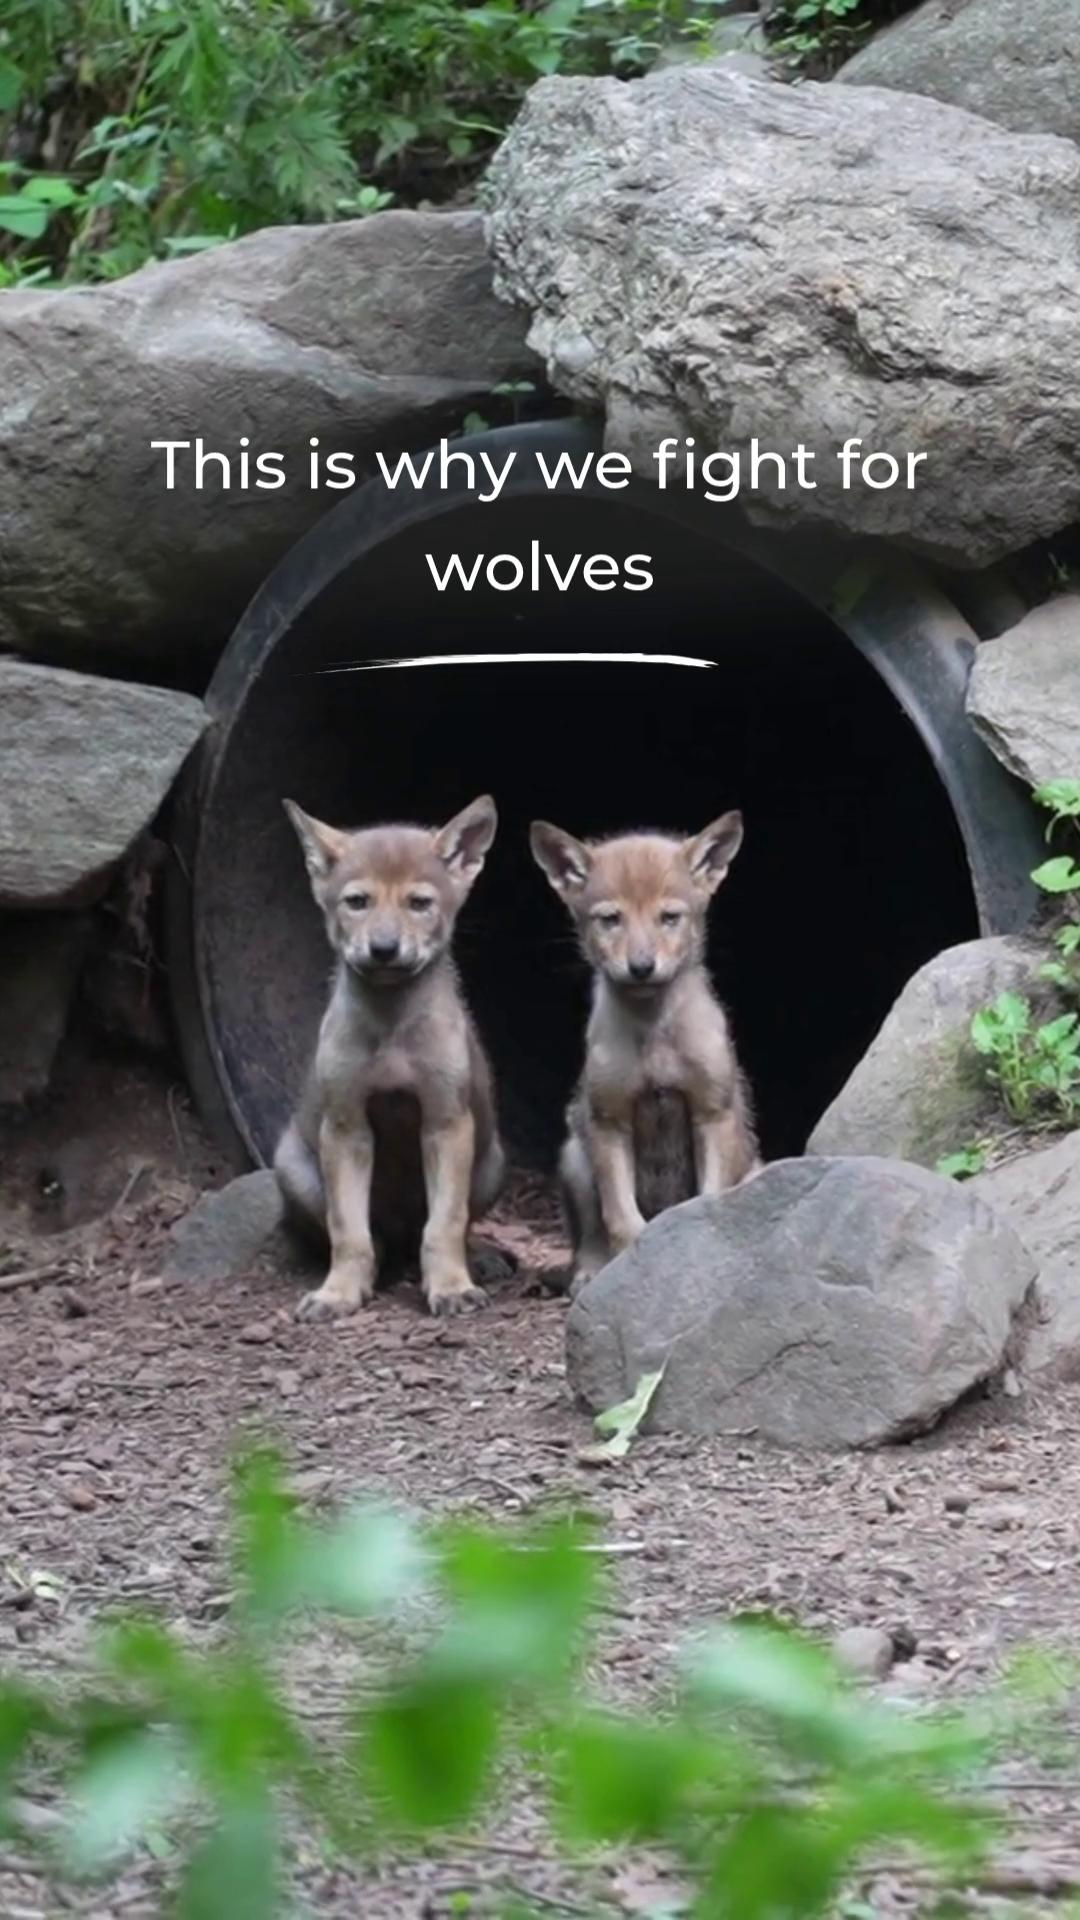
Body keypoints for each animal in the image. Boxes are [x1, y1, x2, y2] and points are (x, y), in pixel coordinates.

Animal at [274, 794, 506, 1318]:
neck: (391, 1027)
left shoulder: (445, 1122)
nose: (383, 948)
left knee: (451, 1228)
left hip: (490, 1163)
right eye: (357, 902)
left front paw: (452, 1288)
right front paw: (338, 1292)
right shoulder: (346, 1126)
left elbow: (444, 1225)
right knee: (370, 1238)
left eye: (419, 903)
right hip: (293, 1167)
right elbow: (348, 1230)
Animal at [530, 811, 759, 1292]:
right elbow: (622, 1221)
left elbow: (708, 1199)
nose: (640, 966)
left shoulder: (712, 1113)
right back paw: (588, 1274)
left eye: (669, 917)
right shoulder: (609, 1122)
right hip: (576, 1161)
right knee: (590, 1236)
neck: (653, 1033)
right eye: (610, 919)